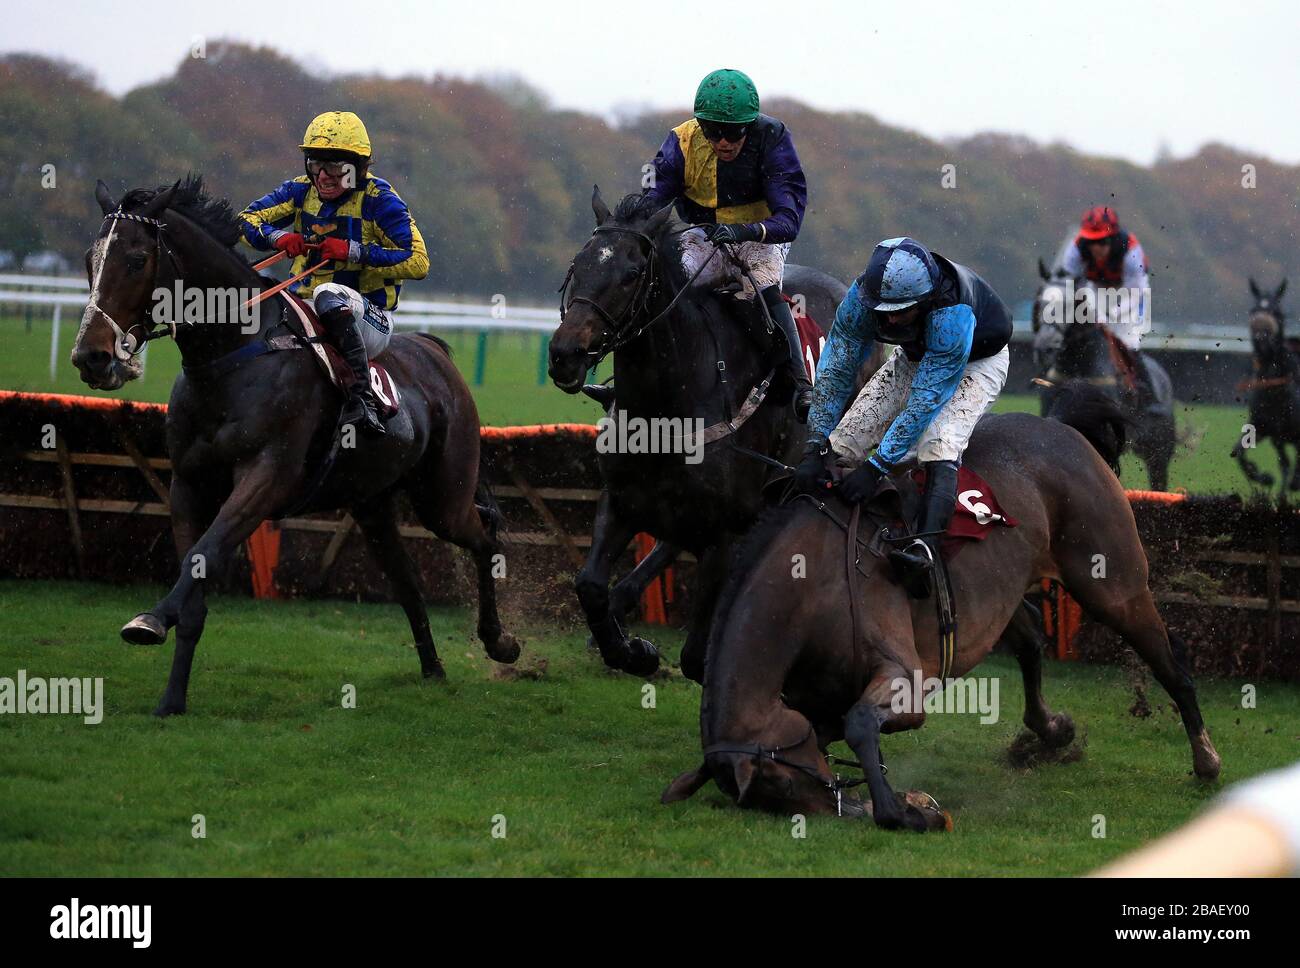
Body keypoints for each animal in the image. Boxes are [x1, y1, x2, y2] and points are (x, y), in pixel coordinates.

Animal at [72, 178, 517, 712]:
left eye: (137, 259)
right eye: (90, 258)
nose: (91, 357)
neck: (233, 357)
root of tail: (436, 352)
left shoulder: (267, 477)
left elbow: (206, 552)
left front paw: (151, 620)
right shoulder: (189, 484)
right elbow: (195, 575)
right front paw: (172, 698)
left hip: (442, 496)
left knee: (483, 537)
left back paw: (500, 642)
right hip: (372, 503)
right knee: (409, 585)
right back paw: (433, 669)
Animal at [548, 188, 873, 680]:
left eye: (630, 274)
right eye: (578, 264)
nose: (564, 354)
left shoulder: (724, 532)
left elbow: (698, 656)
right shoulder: (622, 500)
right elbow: (589, 586)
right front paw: (633, 651)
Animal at [665, 384, 1222, 831]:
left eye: (780, 783)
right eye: (774, 796)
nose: (840, 809)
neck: (812, 582)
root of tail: (1063, 429)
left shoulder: (903, 676)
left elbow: (860, 722)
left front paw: (902, 811)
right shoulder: (820, 699)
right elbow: (838, 724)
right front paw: (905, 802)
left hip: (1111, 582)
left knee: (1169, 660)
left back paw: (1206, 760)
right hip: (998, 599)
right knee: (1030, 639)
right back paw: (1051, 730)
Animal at [1227, 278, 1300, 491]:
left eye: (1277, 312)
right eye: (1253, 310)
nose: (1262, 340)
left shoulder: (1287, 434)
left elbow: (1289, 466)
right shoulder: (1265, 428)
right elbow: (1239, 452)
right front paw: (1263, 478)